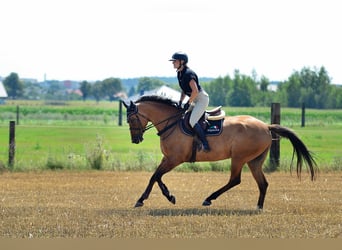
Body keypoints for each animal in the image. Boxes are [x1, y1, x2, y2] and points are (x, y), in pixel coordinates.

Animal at [122, 95, 316, 209]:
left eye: (131, 119)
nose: (135, 139)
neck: (172, 122)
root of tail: (266, 126)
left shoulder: (175, 159)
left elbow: (156, 176)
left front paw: (145, 199)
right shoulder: (168, 158)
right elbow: (156, 176)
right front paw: (167, 196)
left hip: (239, 158)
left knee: (235, 180)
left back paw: (209, 198)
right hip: (254, 161)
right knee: (263, 183)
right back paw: (258, 207)